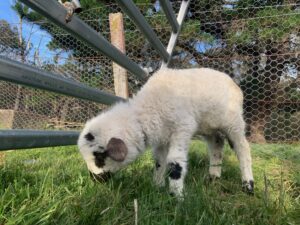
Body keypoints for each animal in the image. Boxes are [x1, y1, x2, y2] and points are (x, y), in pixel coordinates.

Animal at [77, 68, 253, 197]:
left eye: (100, 157)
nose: (95, 180)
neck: (148, 110)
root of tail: (234, 84)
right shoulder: (161, 138)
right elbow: (159, 161)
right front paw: (157, 186)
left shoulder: (182, 128)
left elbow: (175, 162)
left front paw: (177, 197)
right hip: (209, 126)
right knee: (217, 145)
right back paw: (213, 177)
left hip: (233, 122)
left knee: (243, 148)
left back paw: (248, 185)